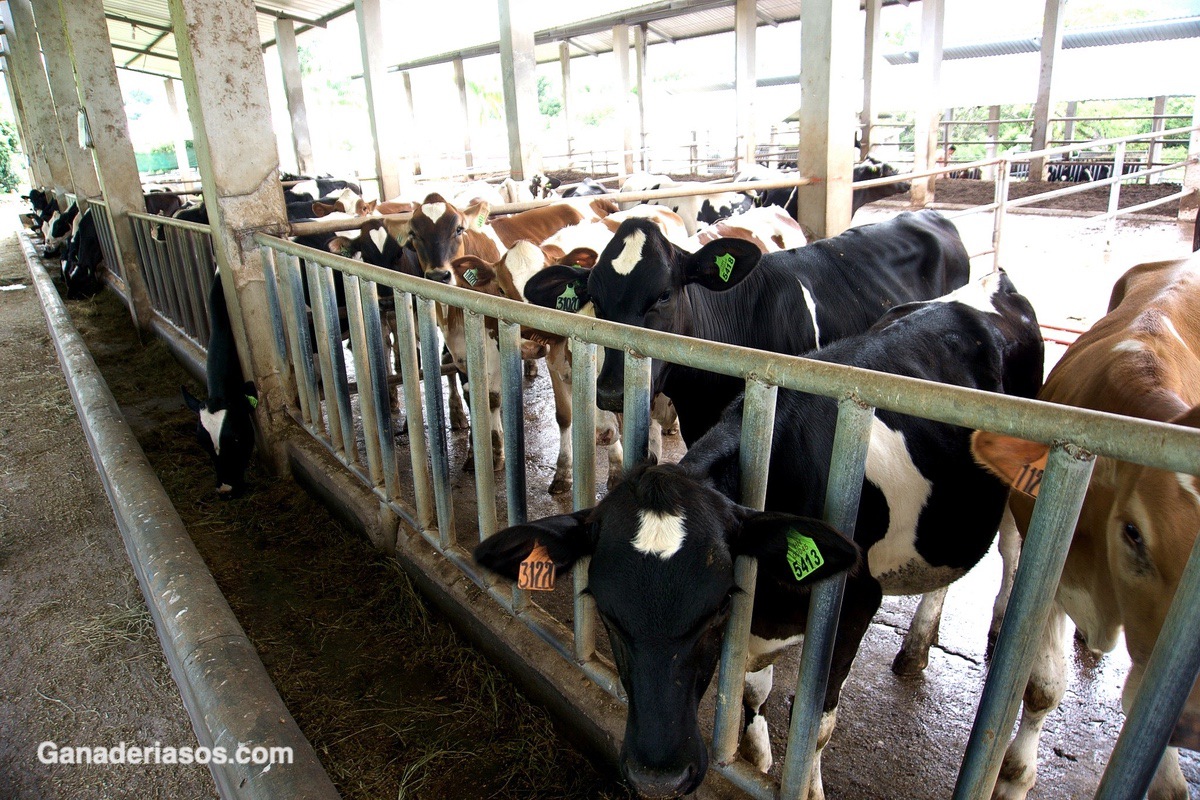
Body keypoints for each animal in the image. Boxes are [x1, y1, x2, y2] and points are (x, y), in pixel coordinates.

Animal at [472, 271, 1046, 800]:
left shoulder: (856, 602)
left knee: (1013, 554)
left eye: (718, 609)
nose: (659, 778)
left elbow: (817, 725)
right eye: (607, 614)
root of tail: (992, 282)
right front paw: (757, 754)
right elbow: (751, 692)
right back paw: (917, 647)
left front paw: (807, 786)